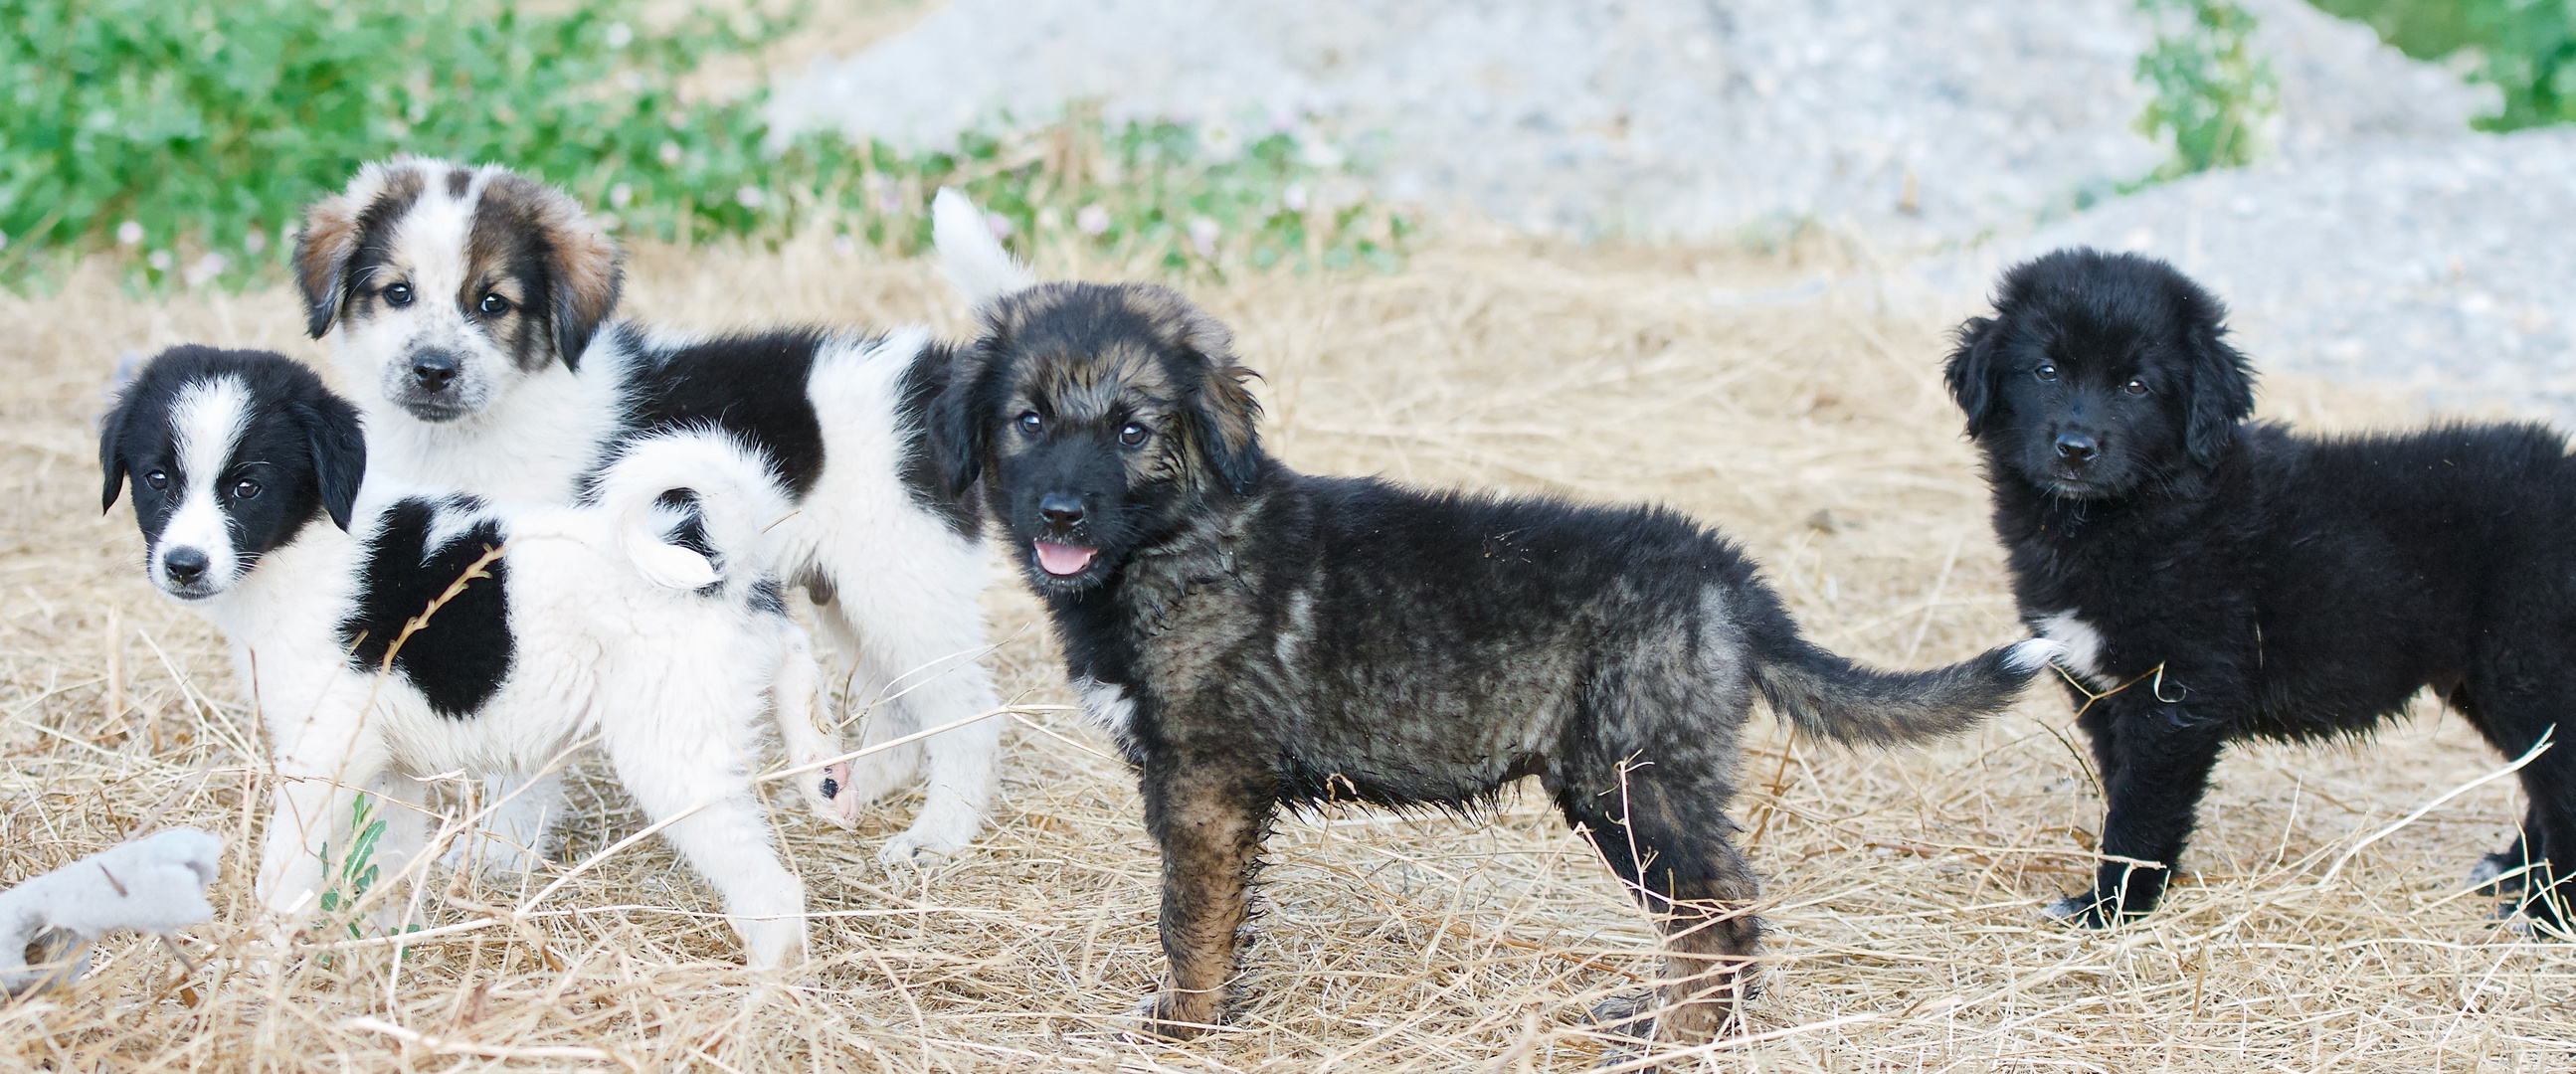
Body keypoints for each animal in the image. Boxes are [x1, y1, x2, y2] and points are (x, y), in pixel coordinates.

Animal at [102, 345, 844, 963]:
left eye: (247, 487)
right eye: (157, 479)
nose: (184, 565)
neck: (307, 539)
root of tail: (716, 555)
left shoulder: (325, 756)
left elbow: (284, 874)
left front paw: (256, 966)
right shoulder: (390, 769)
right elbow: (388, 866)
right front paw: (379, 952)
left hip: (674, 755)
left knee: (772, 891)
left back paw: (767, 990)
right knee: (793, 652)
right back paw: (827, 774)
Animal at [289, 164, 994, 870]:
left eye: (493, 304)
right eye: (397, 292)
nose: (433, 370)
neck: (473, 435)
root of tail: (934, 374)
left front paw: (503, 857)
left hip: (907, 585)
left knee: (968, 716)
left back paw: (939, 831)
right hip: (853, 596)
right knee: (900, 717)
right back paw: (848, 790)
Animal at [1947, 247, 2576, 927]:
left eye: (2137, 386)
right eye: (2046, 370)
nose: (2075, 448)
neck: (2125, 517)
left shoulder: (2177, 696)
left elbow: (2142, 810)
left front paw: (2111, 906)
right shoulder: (2102, 693)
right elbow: (2124, 789)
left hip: (2527, 670)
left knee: (2561, 787)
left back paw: (2546, 914)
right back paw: (2515, 873)